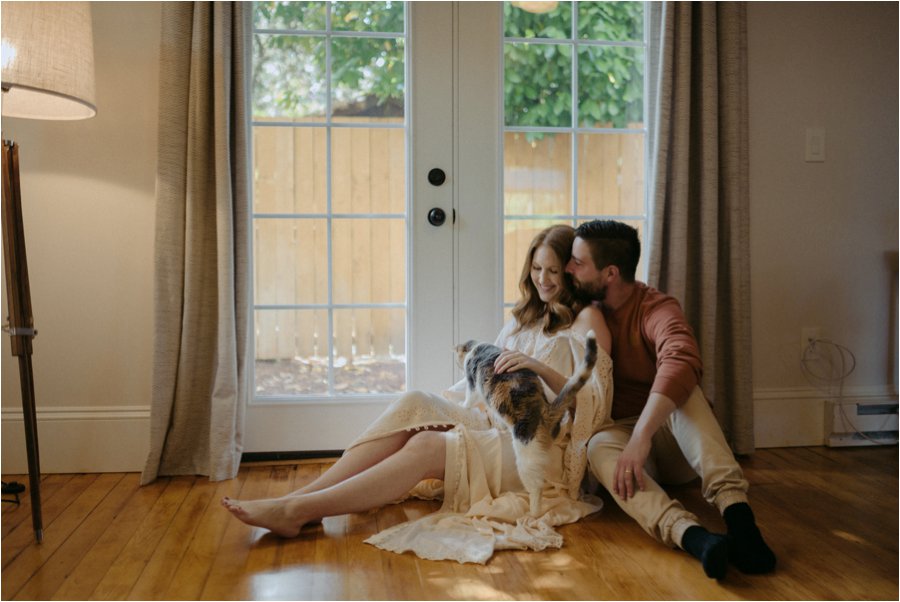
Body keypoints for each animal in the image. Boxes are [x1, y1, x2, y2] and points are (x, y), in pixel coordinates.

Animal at [458, 330, 596, 512]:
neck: (478, 347)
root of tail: (545, 409)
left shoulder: (473, 383)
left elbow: (469, 398)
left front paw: (463, 404)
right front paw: (501, 425)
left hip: (525, 456)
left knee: (537, 487)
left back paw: (532, 513)